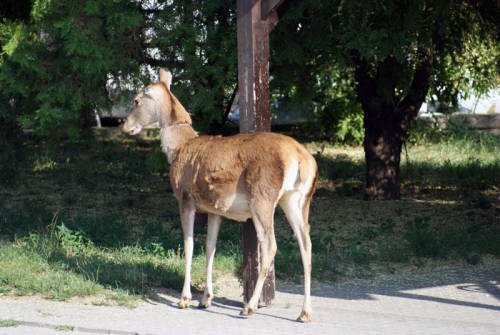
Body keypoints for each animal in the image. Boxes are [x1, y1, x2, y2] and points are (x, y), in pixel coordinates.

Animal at [122, 68, 316, 322]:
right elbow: (210, 247)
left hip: (262, 197)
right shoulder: (215, 209)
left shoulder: (185, 198)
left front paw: (185, 299)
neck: (178, 148)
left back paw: (249, 306)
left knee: (270, 245)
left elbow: (189, 245)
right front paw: (205, 299)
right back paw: (304, 312)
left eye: (136, 100)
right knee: (306, 244)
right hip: (297, 199)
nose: (125, 126)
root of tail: (303, 160)